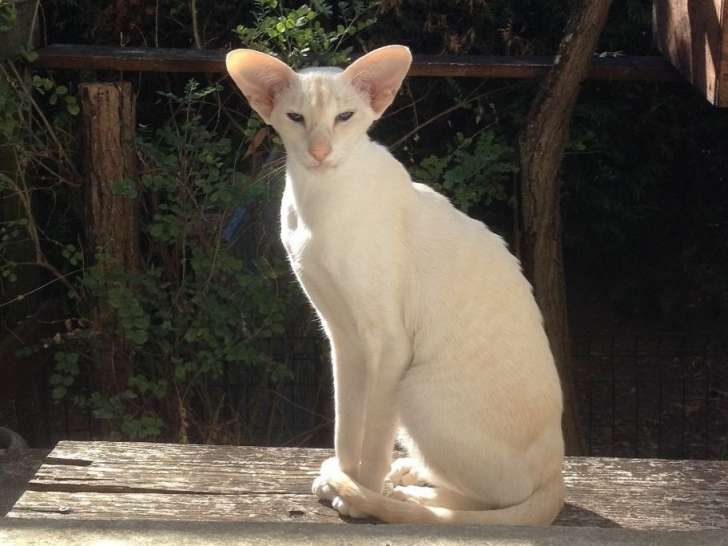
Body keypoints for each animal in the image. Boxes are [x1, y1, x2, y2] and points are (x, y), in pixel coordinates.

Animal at [226, 45, 565, 526]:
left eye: (344, 117)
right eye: (295, 117)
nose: (320, 151)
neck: (319, 204)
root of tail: (557, 472)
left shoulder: (388, 343)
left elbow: (373, 440)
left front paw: (359, 492)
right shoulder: (342, 338)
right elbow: (347, 426)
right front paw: (345, 476)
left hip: (416, 389)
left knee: (490, 501)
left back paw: (405, 497)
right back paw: (409, 474)